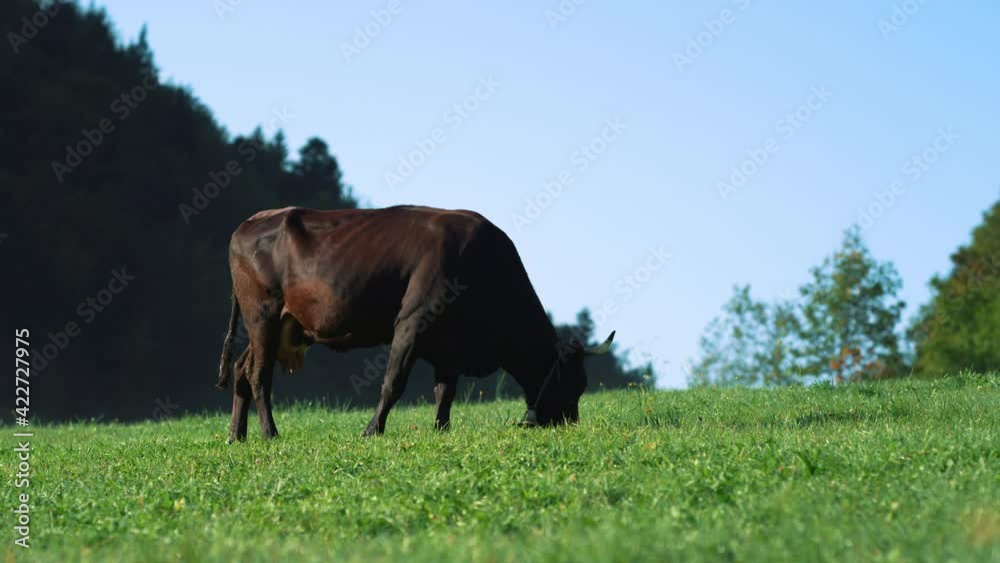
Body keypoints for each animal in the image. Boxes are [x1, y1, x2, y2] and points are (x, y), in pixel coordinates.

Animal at [216, 205, 615, 442]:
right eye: (573, 384)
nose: (568, 425)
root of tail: (249, 222)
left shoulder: (451, 346)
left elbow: (445, 391)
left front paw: (441, 430)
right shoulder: (413, 321)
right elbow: (393, 383)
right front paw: (372, 430)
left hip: (280, 325)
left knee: (241, 369)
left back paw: (237, 435)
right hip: (263, 313)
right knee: (259, 375)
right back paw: (269, 433)